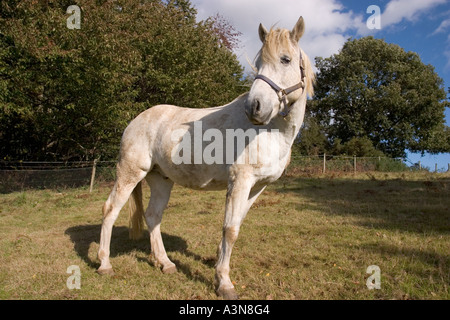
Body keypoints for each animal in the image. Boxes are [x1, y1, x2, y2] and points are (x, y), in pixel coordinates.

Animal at [97, 16, 316, 298]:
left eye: (285, 59)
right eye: (258, 64)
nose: (254, 107)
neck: (271, 131)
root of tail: (135, 121)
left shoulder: (257, 187)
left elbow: (236, 224)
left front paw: (217, 266)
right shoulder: (240, 181)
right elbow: (230, 229)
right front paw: (224, 282)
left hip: (160, 179)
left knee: (153, 216)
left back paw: (165, 263)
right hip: (130, 173)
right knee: (110, 209)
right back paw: (104, 265)